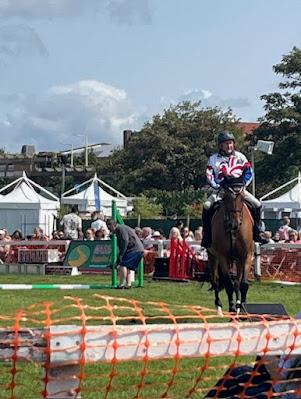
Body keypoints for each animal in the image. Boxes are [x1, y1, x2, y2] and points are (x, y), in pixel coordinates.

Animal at [206, 178, 253, 316]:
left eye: (242, 198)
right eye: (226, 197)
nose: (234, 224)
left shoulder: (246, 256)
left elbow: (243, 284)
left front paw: (242, 310)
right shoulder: (222, 257)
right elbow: (228, 284)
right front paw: (231, 308)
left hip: (237, 260)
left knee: (237, 282)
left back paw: (237, 307)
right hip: (213, 256)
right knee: (215, 281)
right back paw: (219, 308)